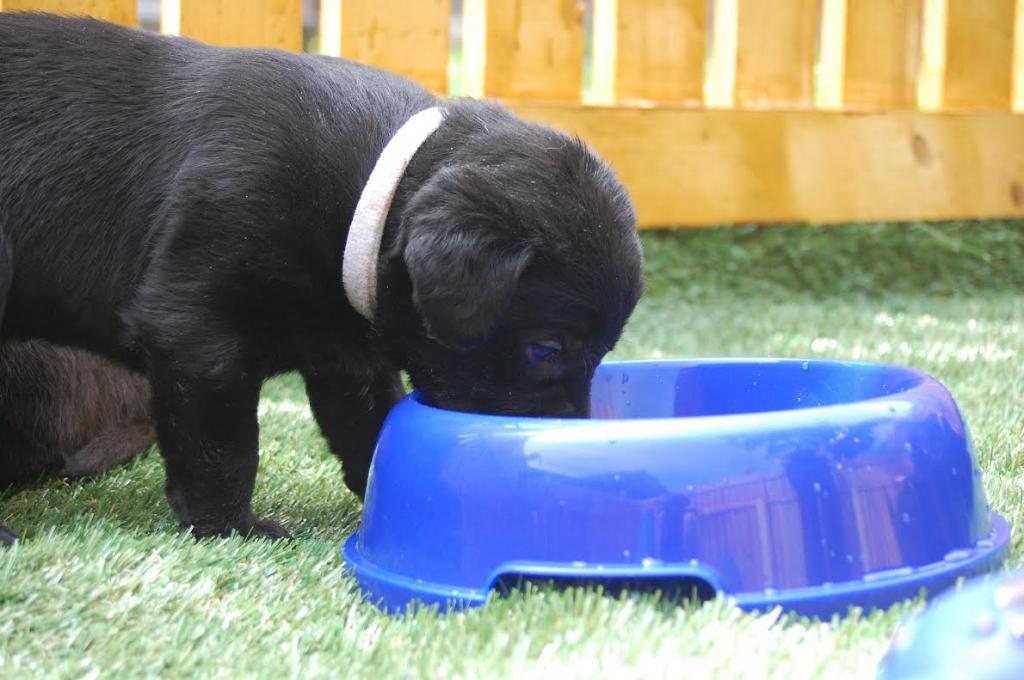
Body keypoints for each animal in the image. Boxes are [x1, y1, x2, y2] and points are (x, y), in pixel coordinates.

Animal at [0, 13, 638, 540]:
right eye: (546, 351)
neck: (369, 188)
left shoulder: (347, 357)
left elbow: (374, 427)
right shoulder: (195, 333)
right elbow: (223, 445)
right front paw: (230, 525)